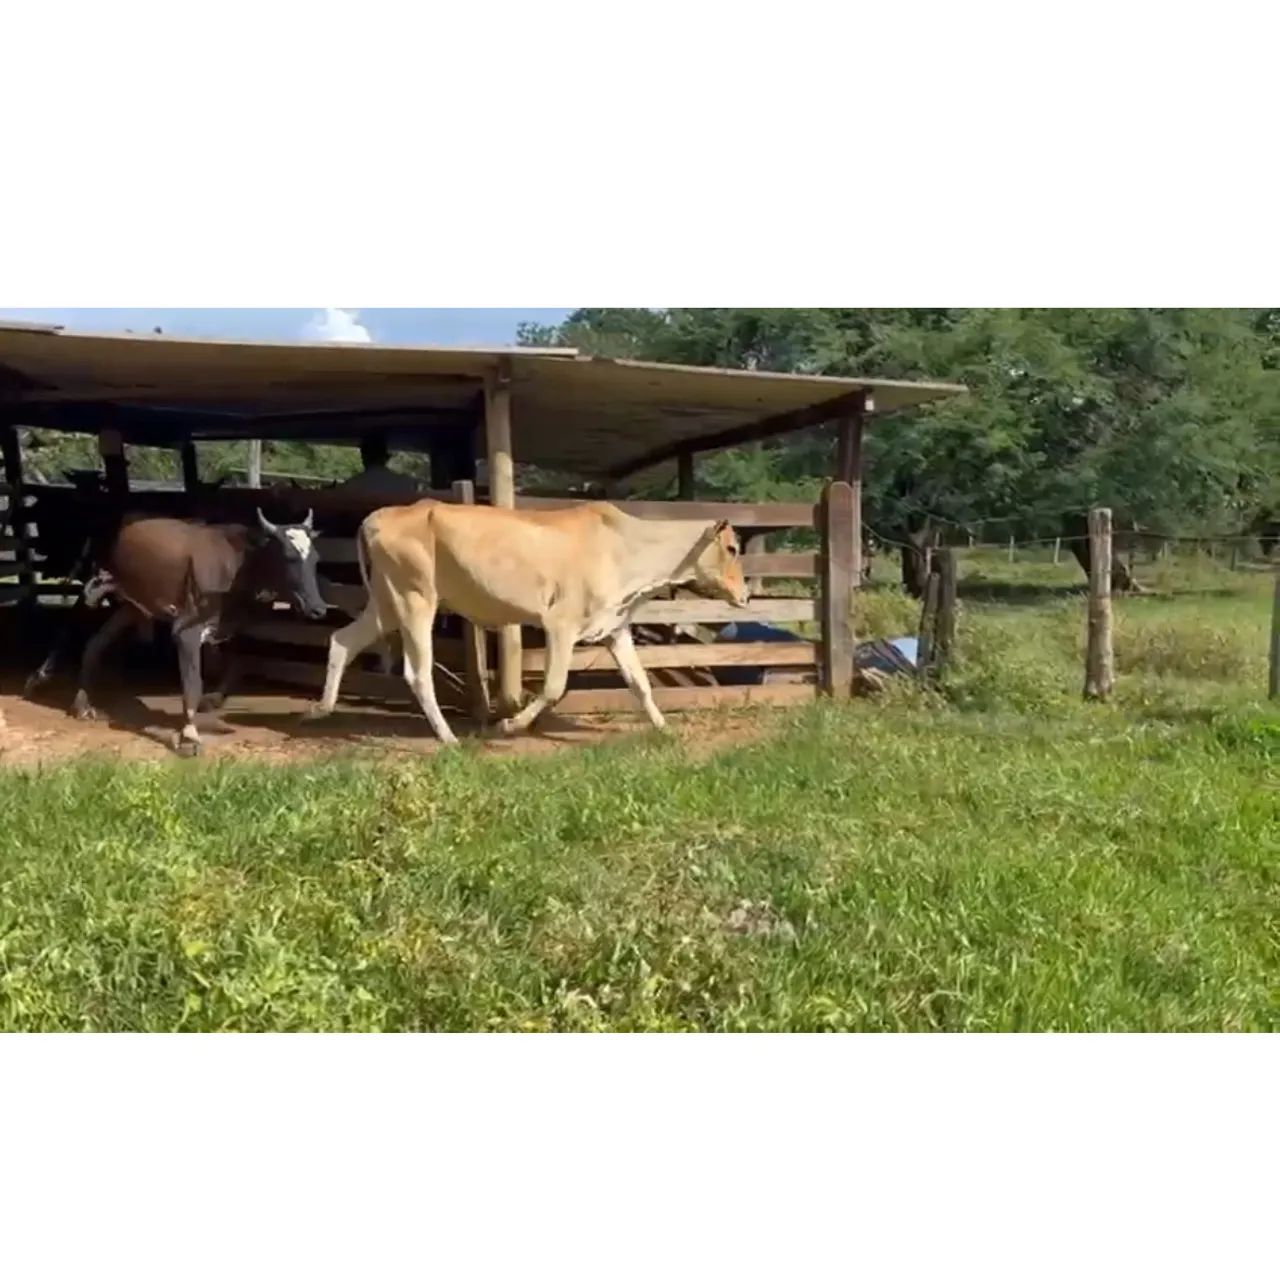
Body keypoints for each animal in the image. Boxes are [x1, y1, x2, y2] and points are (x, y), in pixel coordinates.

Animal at [26, 509, 328, 755]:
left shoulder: (222, 626)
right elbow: (192, 684)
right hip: (97, 584)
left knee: (95, 644)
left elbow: (235, 663)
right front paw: (190, 737)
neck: (238, 567)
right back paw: (39, 677)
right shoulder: (186, 630)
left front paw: (213, 701)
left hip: (131, 603)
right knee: (71, 625)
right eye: (289, 557)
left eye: (315, 559)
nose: (318, 608)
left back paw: (82, 703)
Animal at [304, 500, 750, 744]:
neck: (625, 549)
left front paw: (664, 728)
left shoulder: (615, 628)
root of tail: (381, 515)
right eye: (731, 548)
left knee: (342, 640)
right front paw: (508, 726)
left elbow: (640, 684)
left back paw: (321, 710)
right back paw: (448, 737)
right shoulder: (559, 625)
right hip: (416, 601)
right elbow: (553, 687)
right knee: (418, 673)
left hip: (386, 602)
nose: (745, 596)